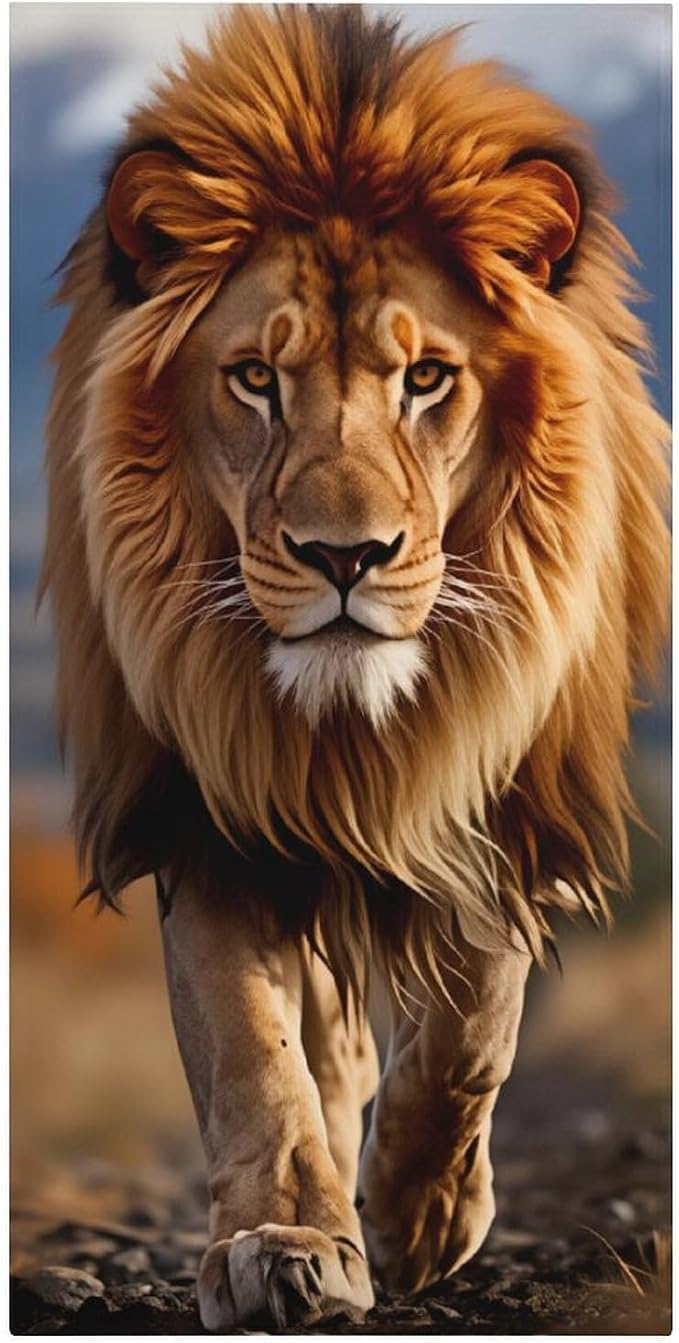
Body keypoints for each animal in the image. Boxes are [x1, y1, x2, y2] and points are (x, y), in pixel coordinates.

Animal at [41, 5, 668, 1331]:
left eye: (426, 378)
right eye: (253, 379)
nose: (345, 556)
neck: (345, 730)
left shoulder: (499, 784)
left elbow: (475, 1015)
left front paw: (423, 1215)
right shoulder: (207, 808)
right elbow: (251, 1043)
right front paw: (286, 1237)